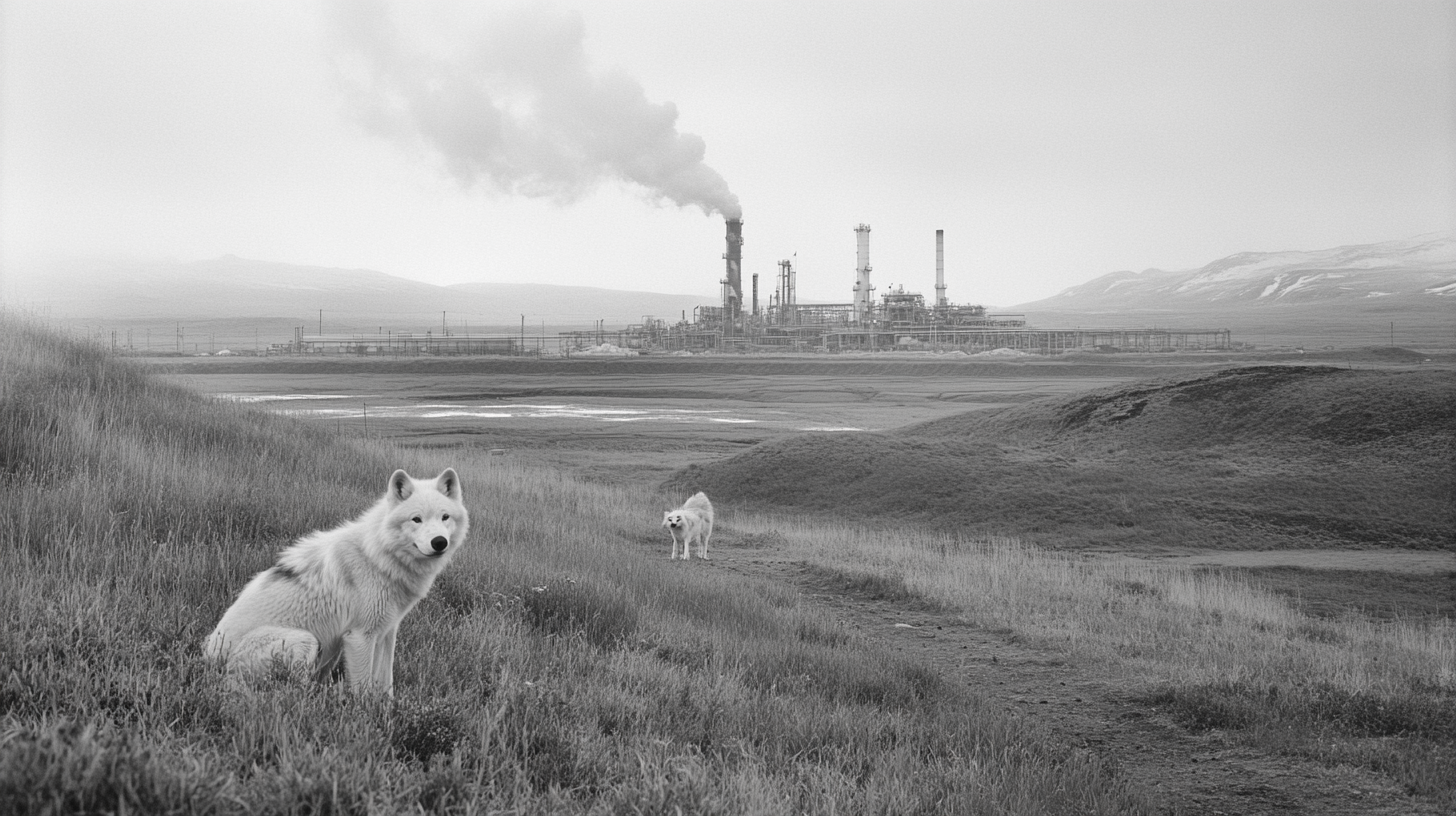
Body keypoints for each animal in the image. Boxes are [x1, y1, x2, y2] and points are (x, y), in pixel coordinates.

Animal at [205, 469, 463, 690]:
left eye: (445, 517)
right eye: (416, 519)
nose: (439, 542)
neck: (376, 555)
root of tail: (209, 660)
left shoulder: (387, 632)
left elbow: (386, 683)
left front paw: (388, 711)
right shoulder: (360, 637)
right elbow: (363, 689)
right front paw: (367, 714)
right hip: (307, 640)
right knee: (296, 690)